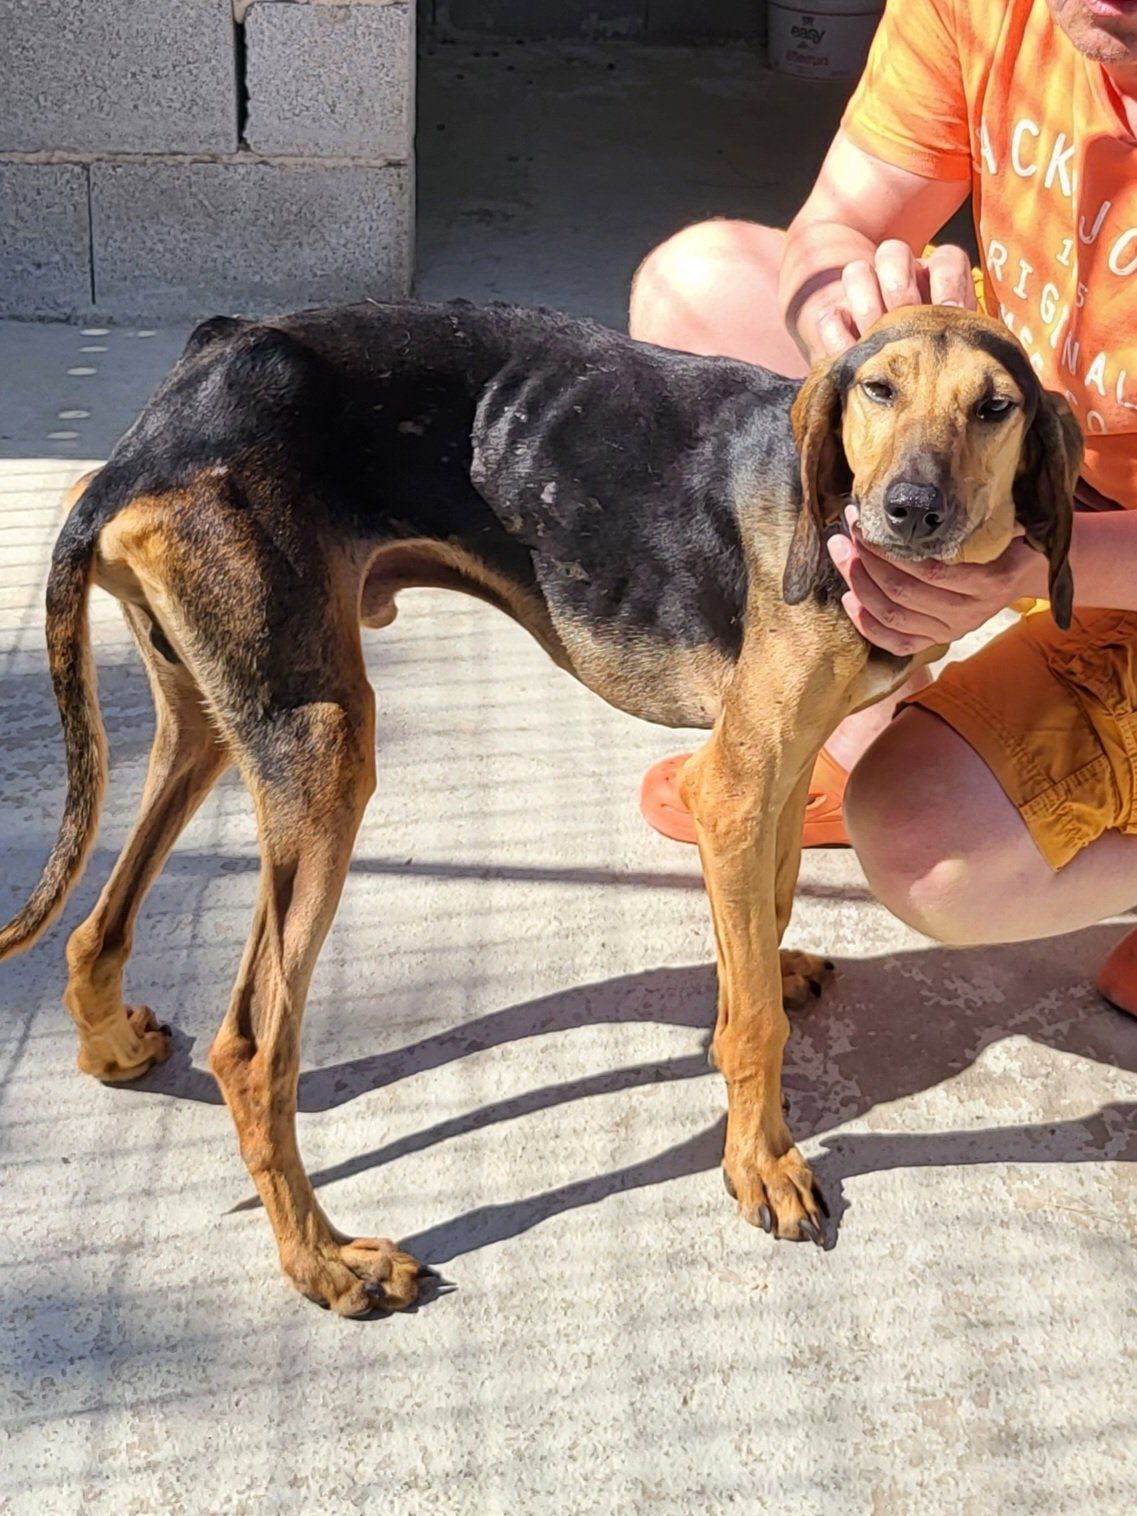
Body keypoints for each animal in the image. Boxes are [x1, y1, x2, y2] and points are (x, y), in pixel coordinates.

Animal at [0, 301, 1080, 1315]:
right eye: (878, 390)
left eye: (994, 406)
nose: (910, 511)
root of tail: (155, 433)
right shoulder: (730, 786)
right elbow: (754, 1027)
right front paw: (762, 1163)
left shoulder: (780, 768)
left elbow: (764, 919)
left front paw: (764, 978)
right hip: (323, 749)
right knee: (253, 1048)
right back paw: (324, 1262)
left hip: (211, 723)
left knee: (97, 927)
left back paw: (110, 1046)